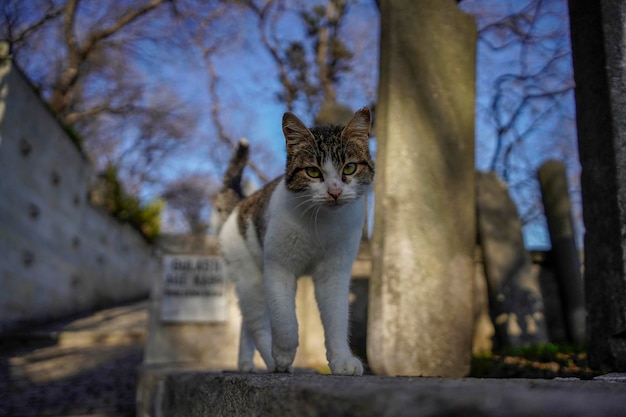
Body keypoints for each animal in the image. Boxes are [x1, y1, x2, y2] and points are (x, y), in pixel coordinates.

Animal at [217, 106, 372, 374]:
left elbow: (337, 318)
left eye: (349, 168)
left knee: (247, 323)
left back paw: (246, 364)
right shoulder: (279, 268)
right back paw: (271, 361)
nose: (334, 192)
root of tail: (239, 204)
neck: (322, 223)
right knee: (257, 322)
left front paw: (342, 360)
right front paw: (282, 354)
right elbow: (285, 321)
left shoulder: (335, 272)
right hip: (251, 277)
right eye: (313, 172)